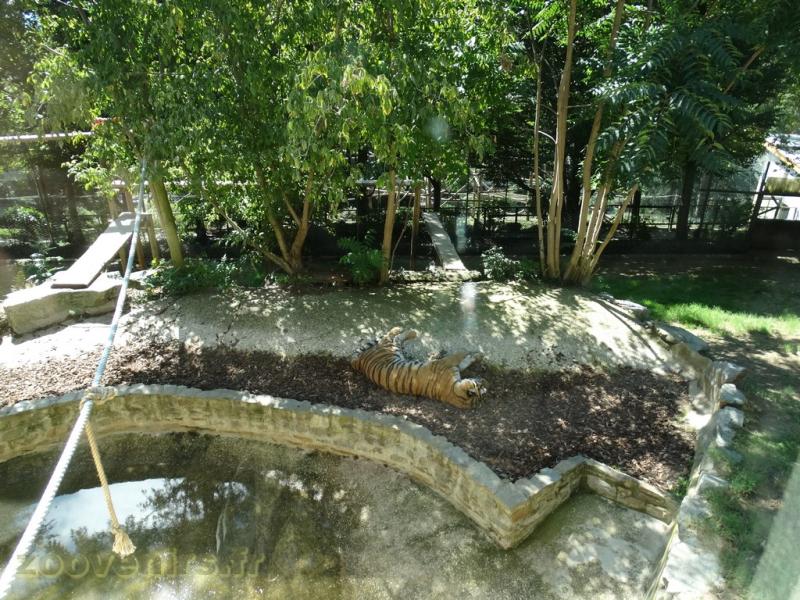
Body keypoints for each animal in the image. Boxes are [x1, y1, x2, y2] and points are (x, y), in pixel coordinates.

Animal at [351, 327, 486, 409]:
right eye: (480, 384)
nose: (485, 380)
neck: (452, 392)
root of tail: (359, 362)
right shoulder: (447, 363)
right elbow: (460, 356)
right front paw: (476, 354)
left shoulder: (448, 364)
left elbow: (462, 360)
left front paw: (476, 355)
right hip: (391, 348)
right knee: (391, 336)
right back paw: (408, 331)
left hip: (392, 348)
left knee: (393, 337)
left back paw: (409, 331)